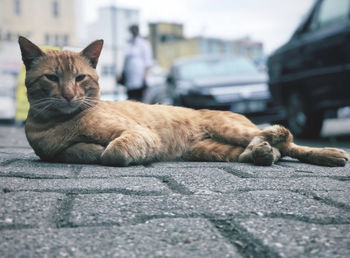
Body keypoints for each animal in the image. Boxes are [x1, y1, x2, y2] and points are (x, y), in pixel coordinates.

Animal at [19, 36, 350, 167]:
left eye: (79, 78)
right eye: (51, 78)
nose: (68, 95)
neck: (62, 123)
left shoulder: (138, 133)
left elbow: (113, 152)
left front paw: (112, 152)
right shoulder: (55, 153)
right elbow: (81, 151)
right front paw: (90, 149)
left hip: (230, 128)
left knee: (288, 141)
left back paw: (322, 150)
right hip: (212, 150)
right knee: (272, 151)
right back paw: (261, 153)